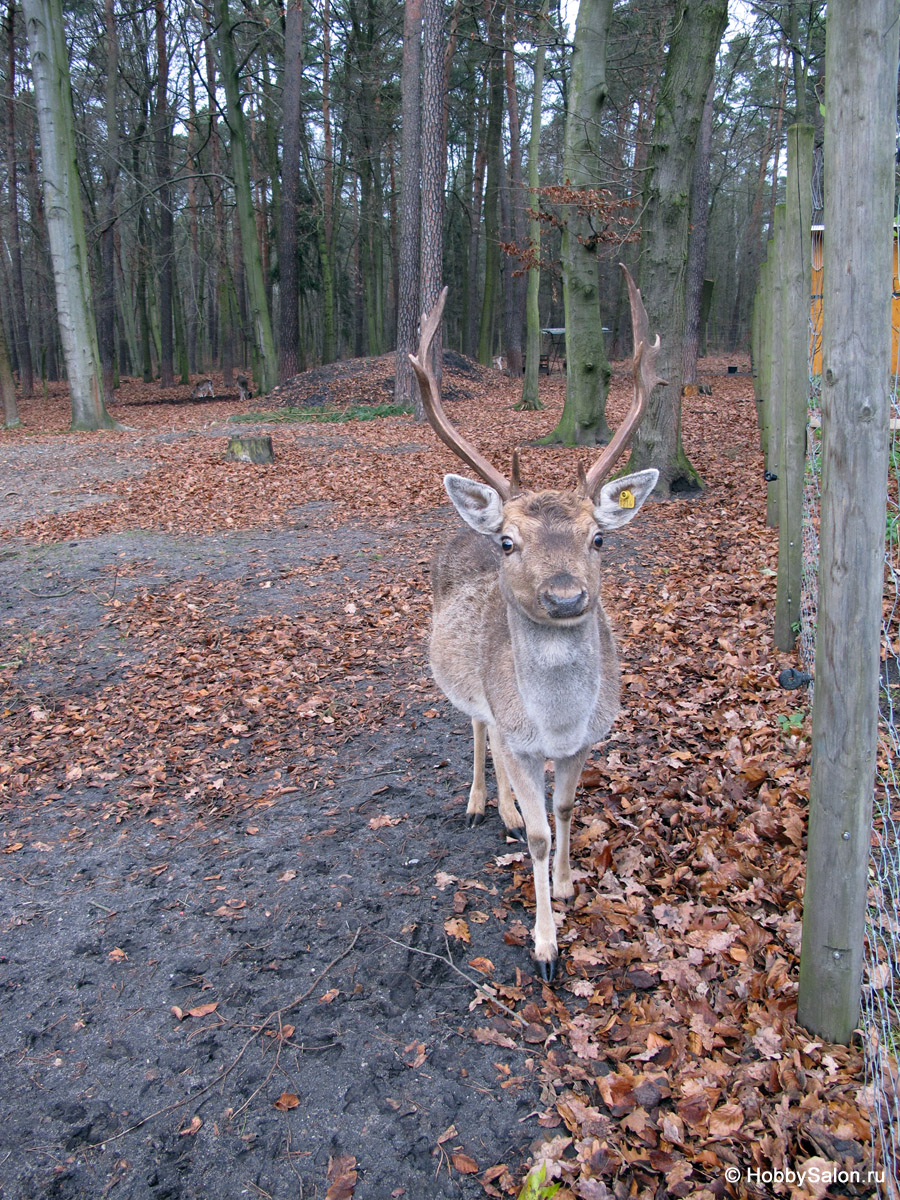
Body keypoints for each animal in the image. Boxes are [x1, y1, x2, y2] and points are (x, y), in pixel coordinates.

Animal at [410, 267, 662, 979]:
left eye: (599, 537)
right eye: (509, 542)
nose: (567, 595)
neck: (554, 723)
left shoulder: (587, 739)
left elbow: (569, 806)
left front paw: (569, 885)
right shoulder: (520, 736)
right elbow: (544, 830)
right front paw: (548, 946)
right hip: (469, 688)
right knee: (477, 730)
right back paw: (484, 806)